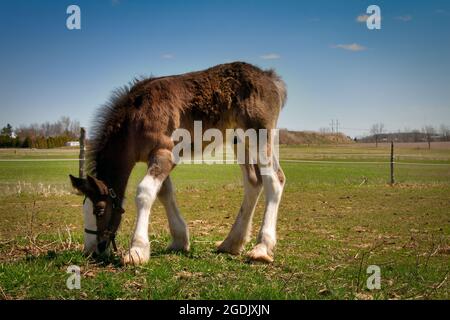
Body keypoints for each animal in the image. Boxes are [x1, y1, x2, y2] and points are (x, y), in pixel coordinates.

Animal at [70, 61, 288, 264]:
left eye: (99, 210)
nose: (91, 251)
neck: (135, 118)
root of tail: (270, 78)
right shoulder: (153, 158)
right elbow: (164, 193)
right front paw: (179, 240)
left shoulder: (164, 153)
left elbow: (144, 193)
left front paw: (137, 250)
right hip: (240, 141)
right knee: (254, 182)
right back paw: (231, 243)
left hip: (260, 135)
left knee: (275, 180)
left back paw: (261, 248)